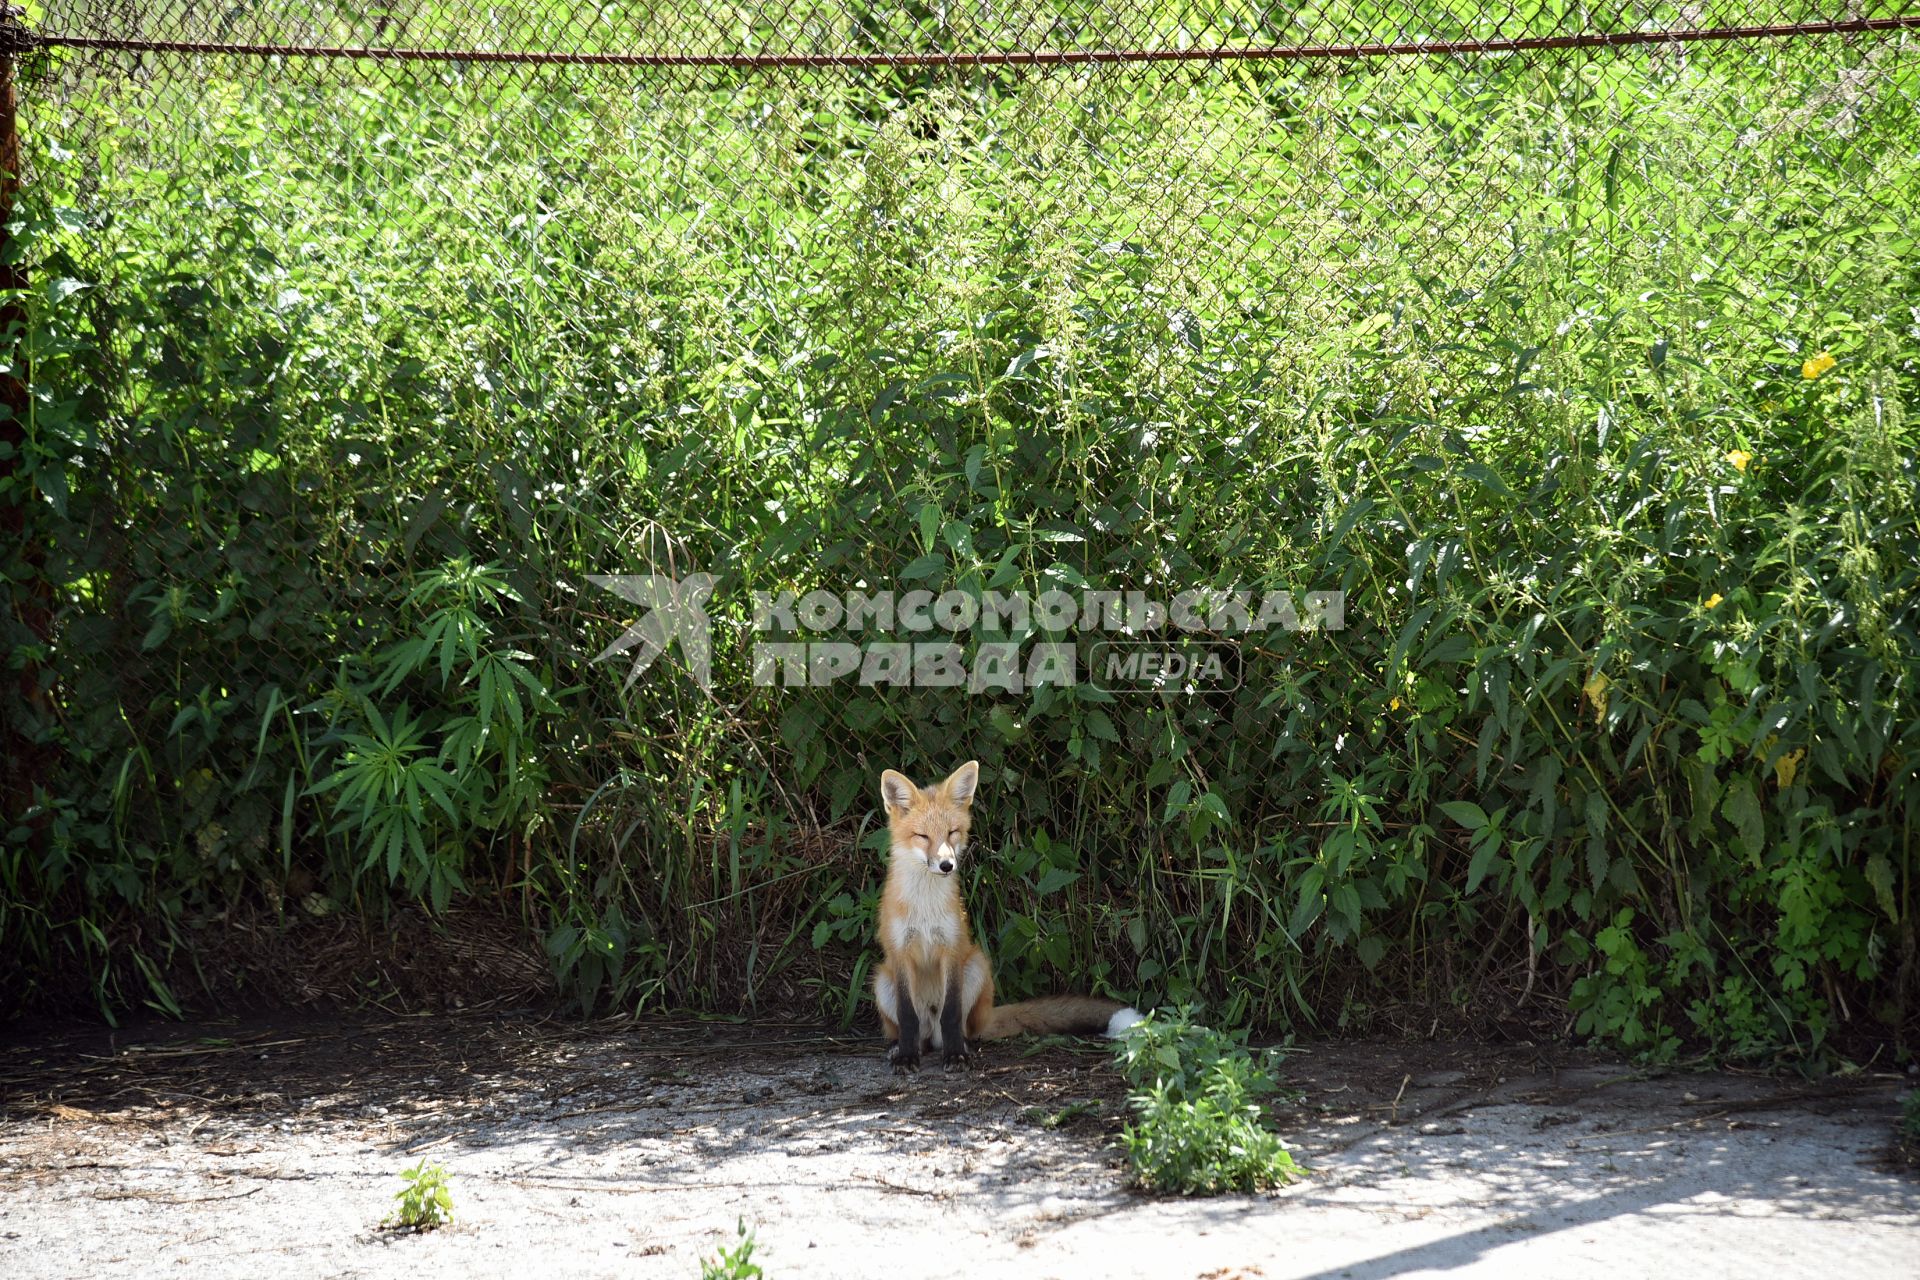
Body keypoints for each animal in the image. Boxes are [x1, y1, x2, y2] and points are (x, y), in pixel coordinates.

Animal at [875, 759, 1136, 1074]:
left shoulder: (952, 948)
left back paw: (961, 1045)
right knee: (918, 1034)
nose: (947, 865)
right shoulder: (900, 952)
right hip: (882, 981)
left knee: (959, 1029)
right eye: (922, 836)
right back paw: (902, 1047)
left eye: (952, 832)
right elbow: (907, 1016)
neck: (925, 907)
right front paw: (905, 1057)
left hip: (976, 965)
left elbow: (951, 1013)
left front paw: (956, 1055)